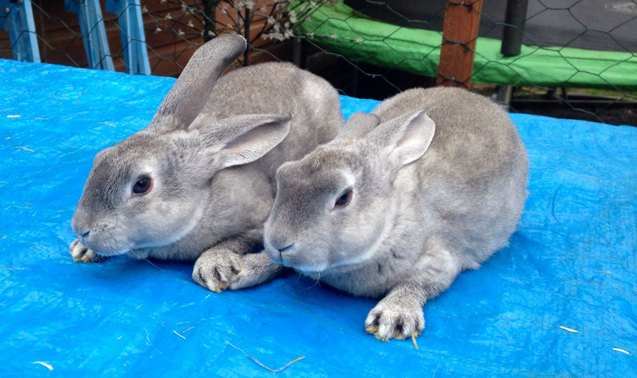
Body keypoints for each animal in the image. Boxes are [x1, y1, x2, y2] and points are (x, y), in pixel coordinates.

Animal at [69, 33, 342, 292]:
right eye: (100, 157)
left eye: (142, 184)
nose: (81, 229)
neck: (201, 202)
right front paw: (82, 250)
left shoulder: (259, 224)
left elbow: (236, 241)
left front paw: (213, 267)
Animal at [256, 88, 528, 342]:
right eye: (283, 175)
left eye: (344, 197)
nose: (279, 243)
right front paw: (249, 268)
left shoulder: (440, 260)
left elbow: (416, 283)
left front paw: (393, 317)